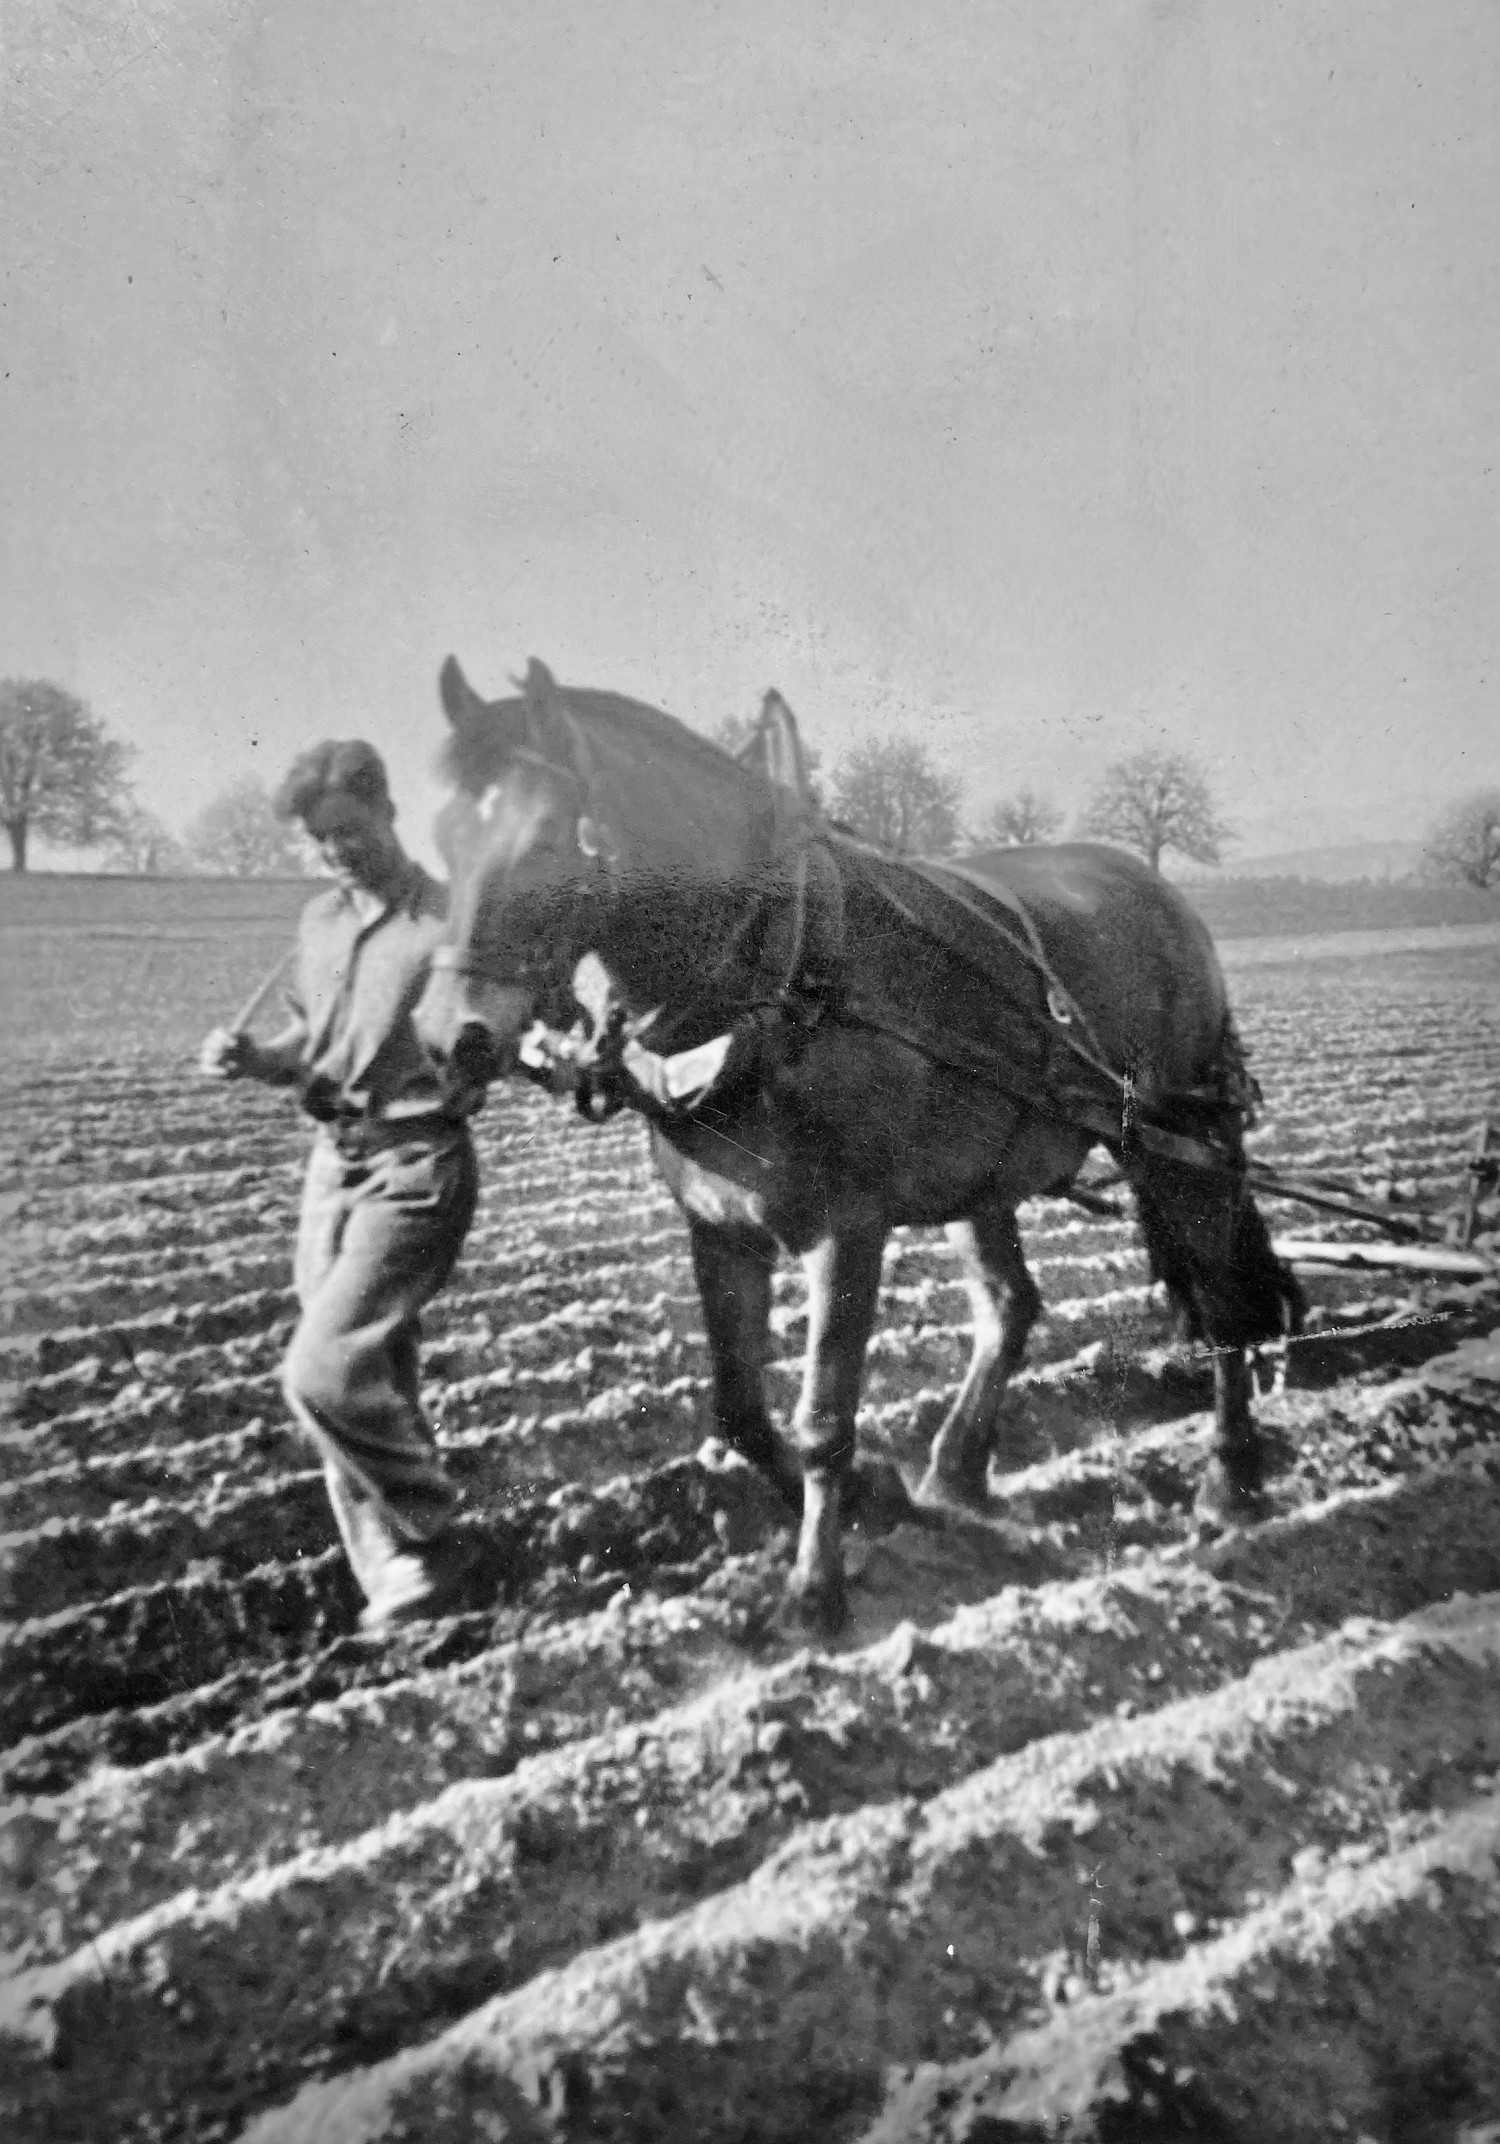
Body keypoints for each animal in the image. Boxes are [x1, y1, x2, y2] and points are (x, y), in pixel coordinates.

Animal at [422, 660, 1302, 1629]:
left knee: (1222, 1303)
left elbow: (821, 1419)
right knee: (1010, 1306)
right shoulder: (719, 1229)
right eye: (440, 838)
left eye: (550, 838)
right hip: (991, 1173)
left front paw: (814, 1595)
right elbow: (738, 1411)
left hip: (1180, 1144)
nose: (450, 1037)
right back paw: (955, 1474)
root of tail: (1156, 890)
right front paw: (879, 1498)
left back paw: (1229, 1483)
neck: (775, 972)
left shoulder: (844, 1232)